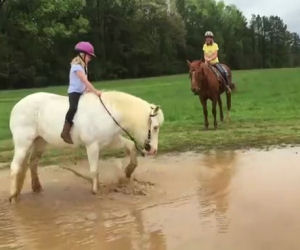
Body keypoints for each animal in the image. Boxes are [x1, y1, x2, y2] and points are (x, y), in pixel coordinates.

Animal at [8, 91, 164, 202]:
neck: (108, 113)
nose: (153, 150)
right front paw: (96, 191)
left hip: (40, 141)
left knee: (33, 163)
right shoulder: (92, 146)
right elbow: (94, 170)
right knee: (15, 167)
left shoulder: (112, 141)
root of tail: (17, 106)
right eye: (155, 127)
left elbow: (131, 146)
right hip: (23, 143)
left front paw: (128, 171)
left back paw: (36, 188)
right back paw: (13, 196)